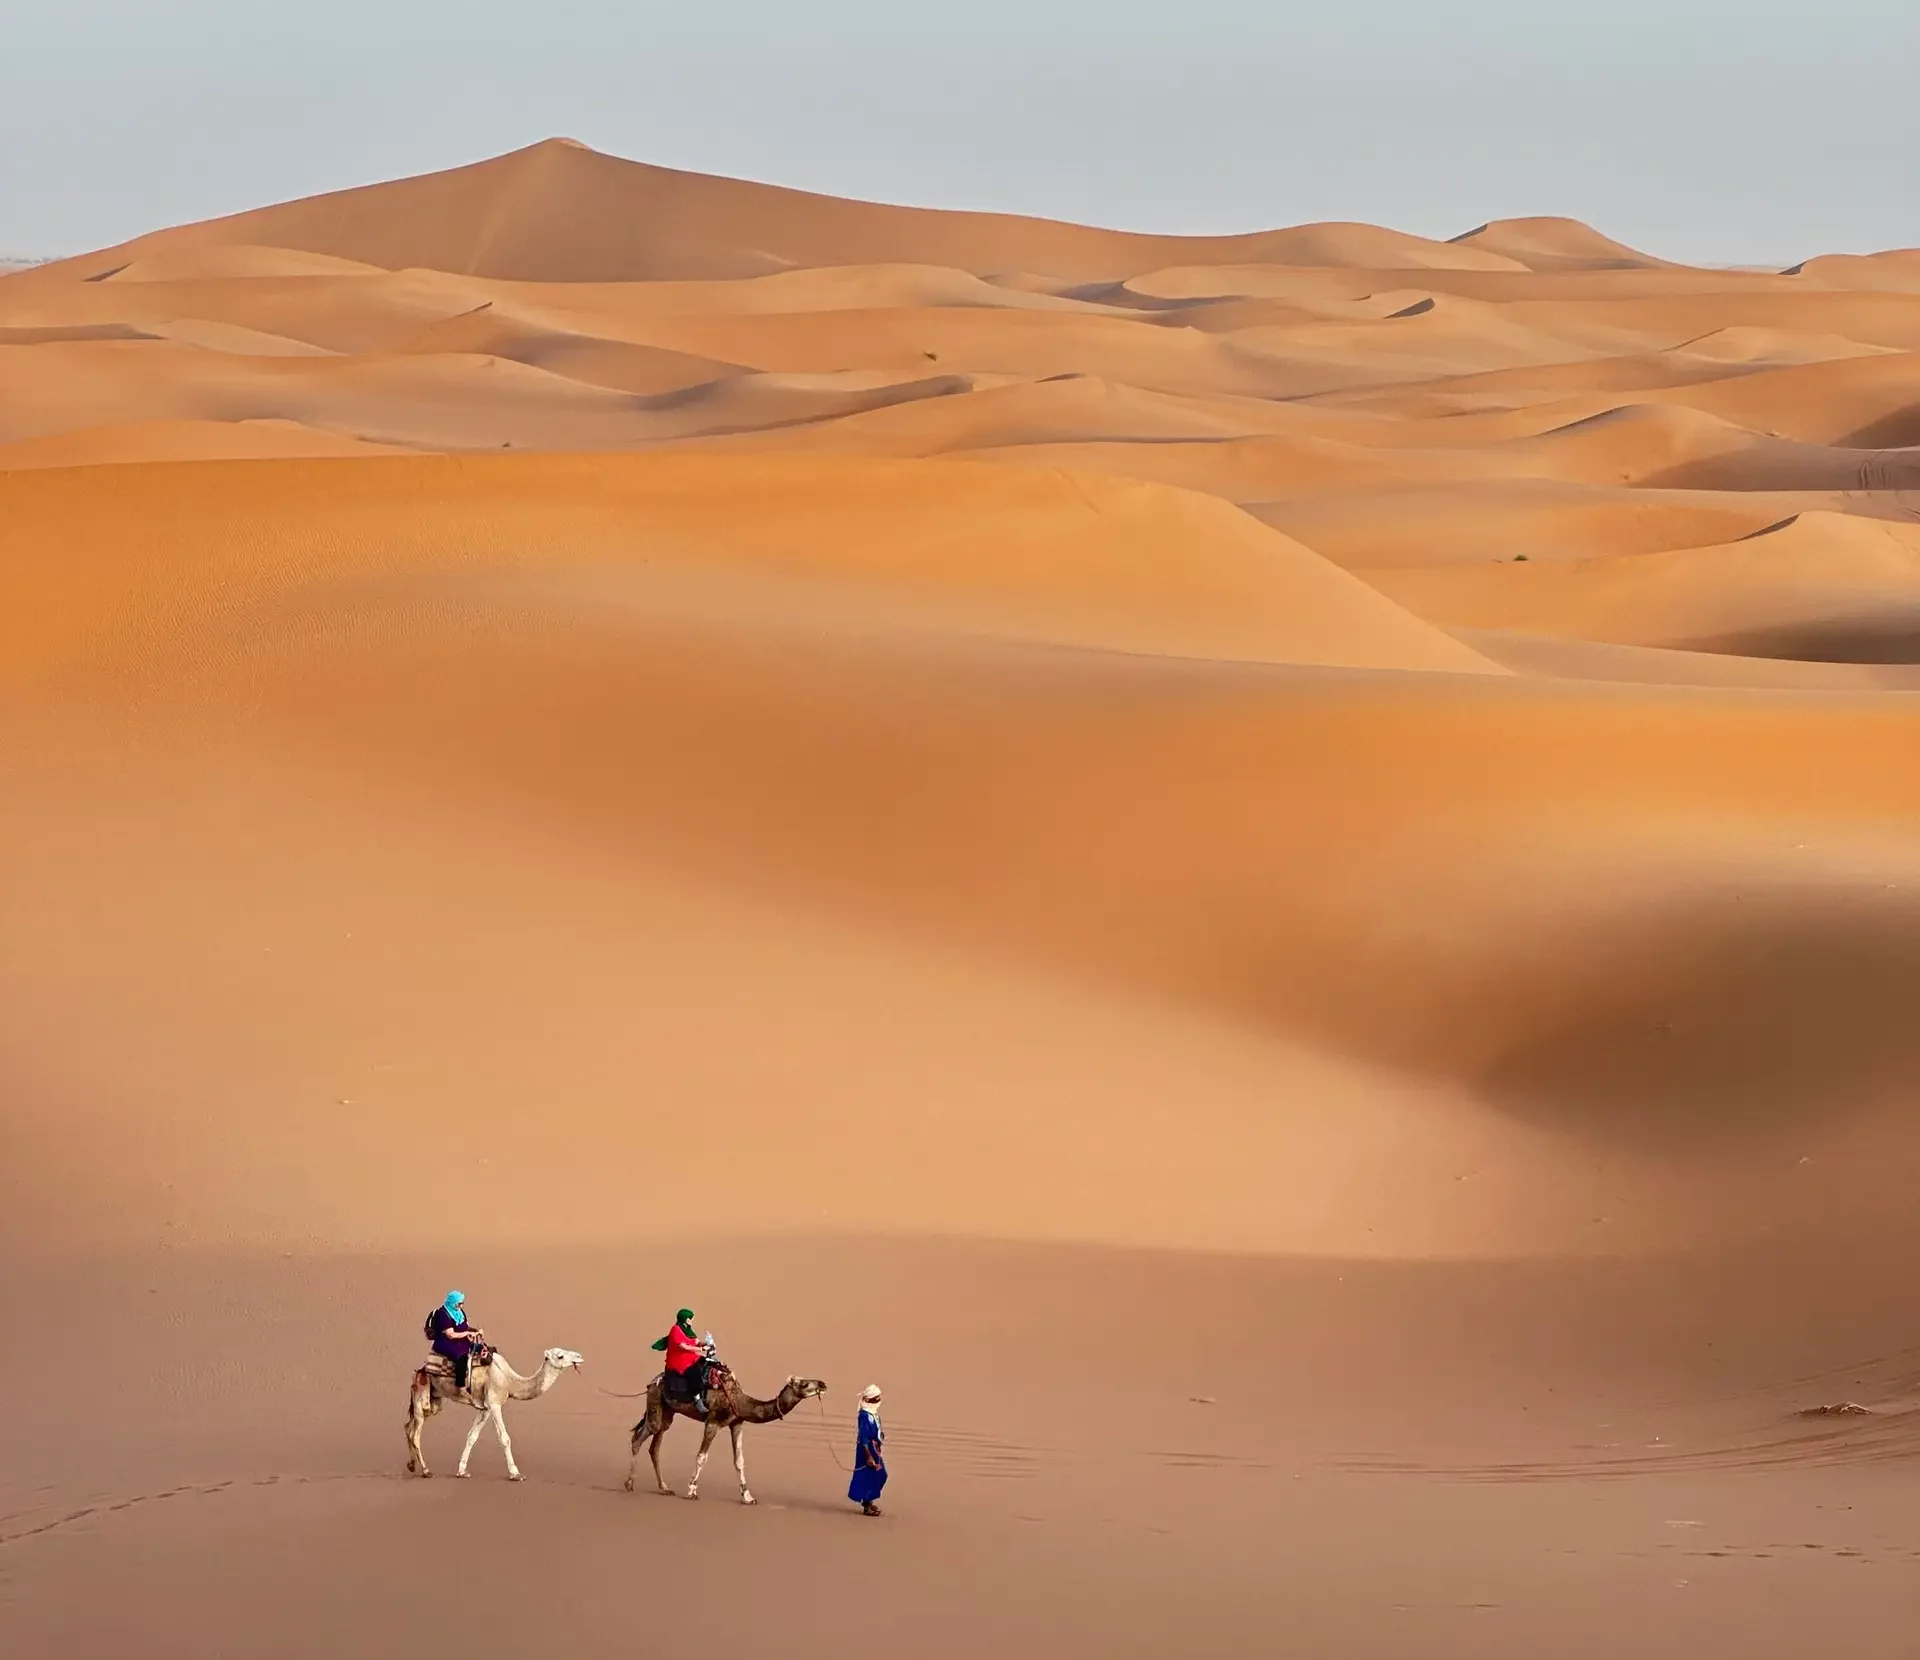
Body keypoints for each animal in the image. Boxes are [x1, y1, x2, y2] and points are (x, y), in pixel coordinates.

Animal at [401, 1343, 579, 1481]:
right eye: (560, 1356)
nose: (579, 1356)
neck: (510, 1381)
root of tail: (419, 1370)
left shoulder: (485, 1408)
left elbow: (472, 1436)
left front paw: (462, 1471)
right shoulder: (494, 1403)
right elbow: (505, 1438)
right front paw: (516, 1474)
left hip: (434, 1400)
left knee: (408, 1426)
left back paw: (411, 1465)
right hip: (422, 1394)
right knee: (415, 1433)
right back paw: (426, 1471)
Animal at [618, 1358, 821, 1504]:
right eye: (804, 1384)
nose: (822, 1384)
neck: (738, 1400)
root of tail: (652, 1382)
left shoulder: (737, 1423)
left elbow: (739, 1461)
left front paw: (748, 1497)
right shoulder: (712, 1422)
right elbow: (702, 1456)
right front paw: (692, 1491)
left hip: (668, 1412)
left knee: (655, 1446)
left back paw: (664, 1487)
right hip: (655, 1403)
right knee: (639, 1437)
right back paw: (629, 1483)